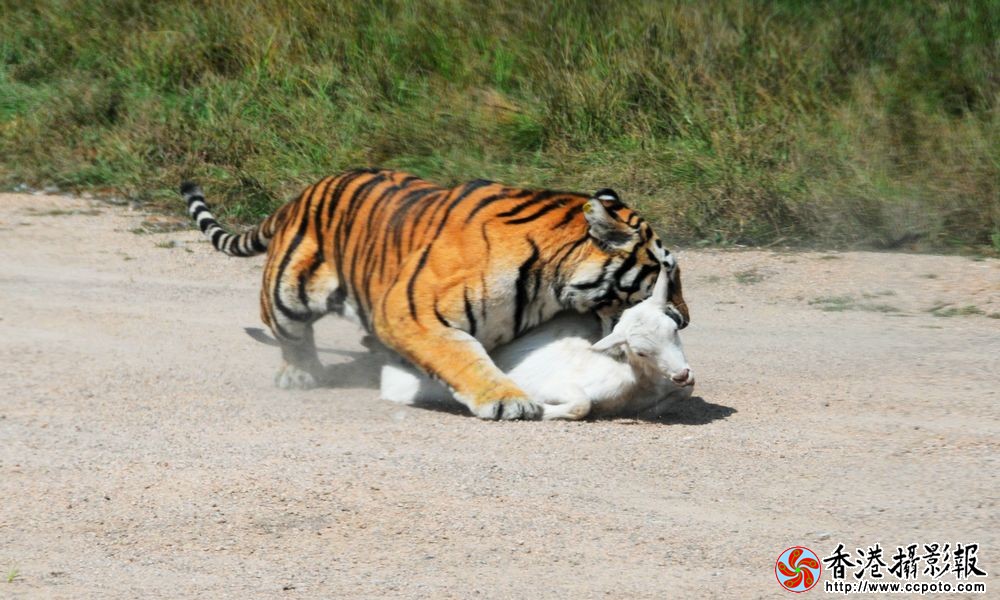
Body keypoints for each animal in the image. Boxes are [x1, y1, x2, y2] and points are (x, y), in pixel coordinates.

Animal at [181, 168, 689, 420]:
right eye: (668, 271)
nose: (684, 317)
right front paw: (508, 400)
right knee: (291, 335)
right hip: (287, 291)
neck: (551, 277)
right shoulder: (412, 314)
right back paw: (300, 373)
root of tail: (299, 196)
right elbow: (463, 356)